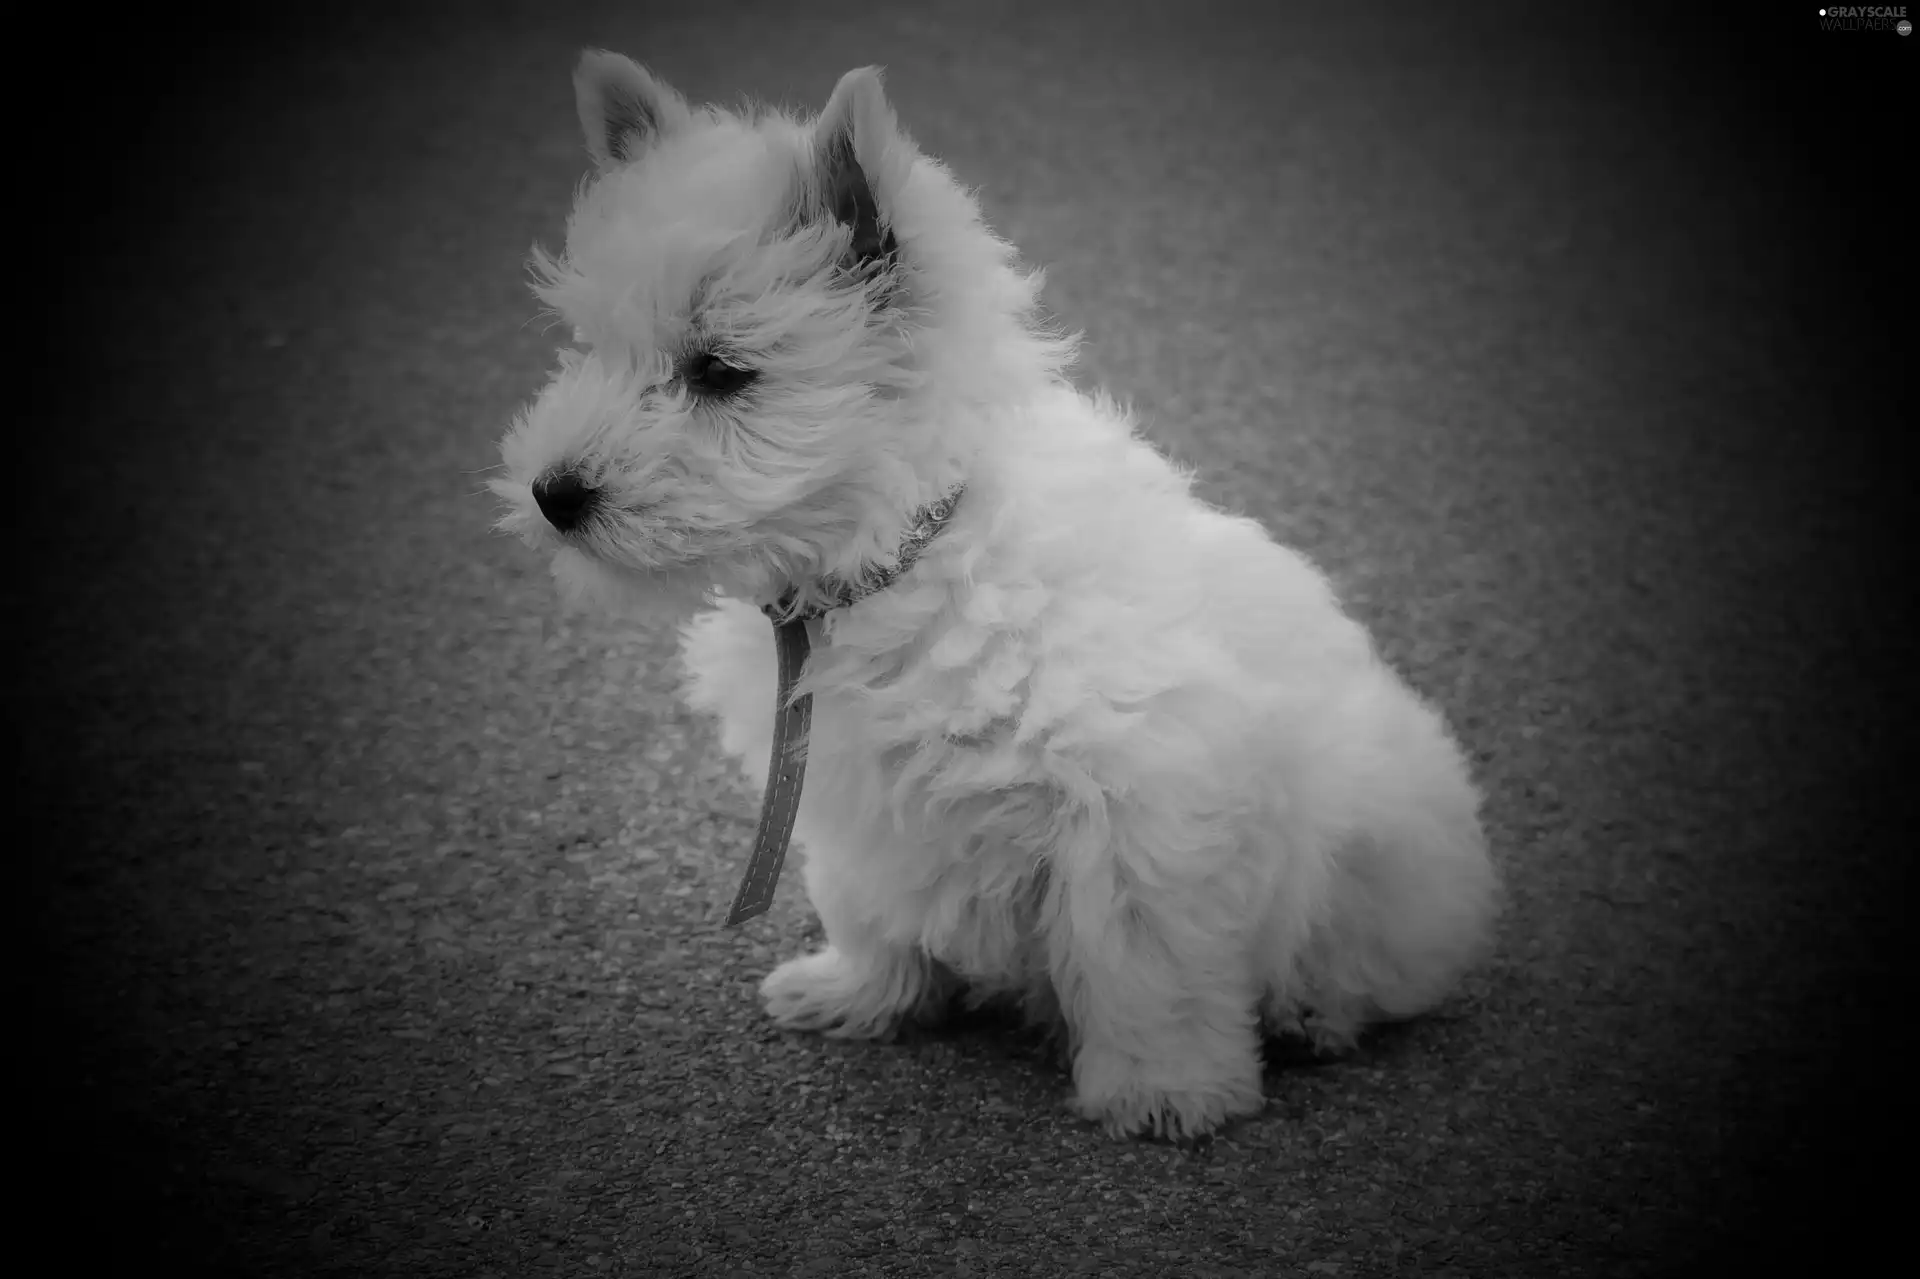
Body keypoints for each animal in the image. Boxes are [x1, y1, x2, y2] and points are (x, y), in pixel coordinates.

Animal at [495, 52, 1497, 1136]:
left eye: (721, 371)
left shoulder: (1138, 800)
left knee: (1377, 966)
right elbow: (869, 907)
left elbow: (1143, 962)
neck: (900, 556)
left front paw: (1164, 1089)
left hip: (1380, 842)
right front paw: (862, 994)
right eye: (588, 345)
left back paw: (1315, 1013)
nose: (554, 494)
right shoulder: (850, 798)